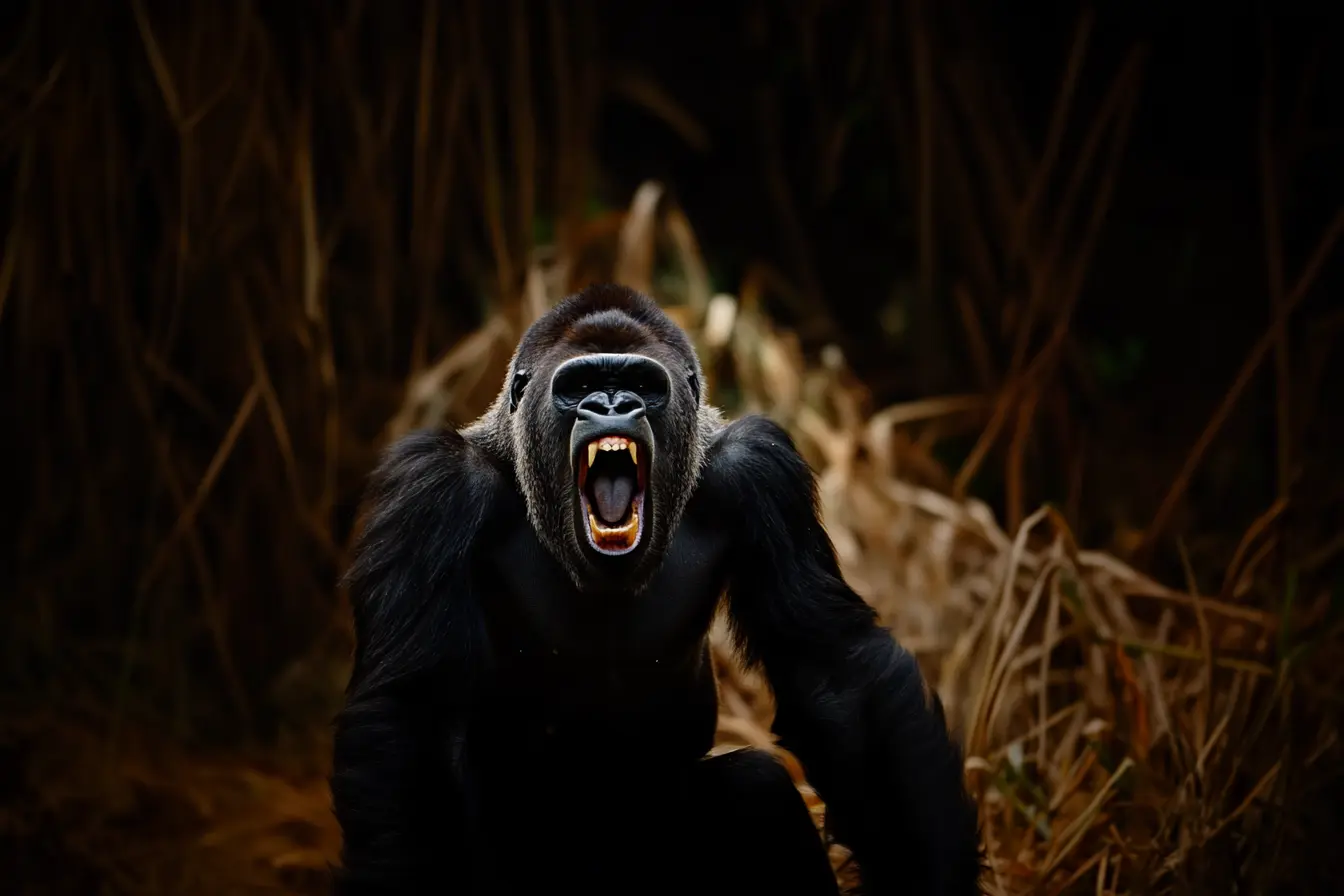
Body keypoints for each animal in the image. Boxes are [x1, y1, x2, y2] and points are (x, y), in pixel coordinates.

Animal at [331, 283, 983, 895]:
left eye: (640, 384)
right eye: (580, 385)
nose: (611, 404)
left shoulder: (761, 469)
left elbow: (833, 670)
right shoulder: (429, 489)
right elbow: (408, 713)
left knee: (760, 791)